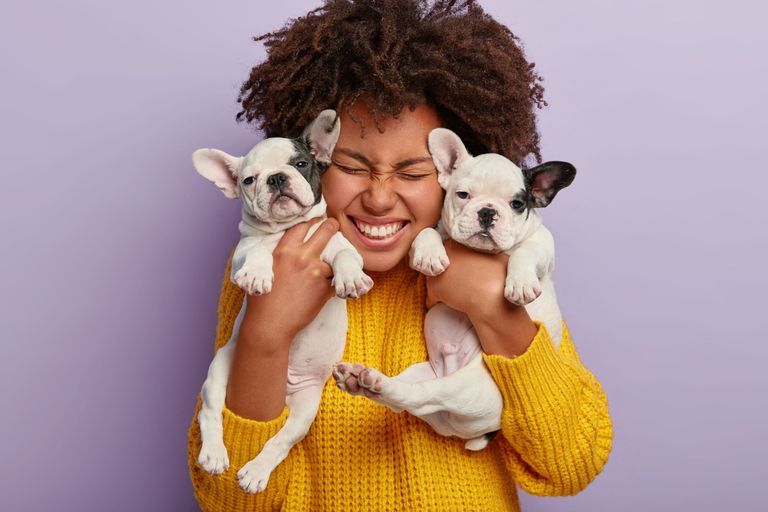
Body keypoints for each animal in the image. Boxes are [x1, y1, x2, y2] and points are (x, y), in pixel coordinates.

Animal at [191, 110, 372, 494]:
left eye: (300, 163)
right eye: (248, 179)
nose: (276, 178)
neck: (287, 230)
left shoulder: (339, 245)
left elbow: (345, 258)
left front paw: (351, 279)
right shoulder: (242, 254)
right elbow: (258, 251)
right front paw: (259, 274)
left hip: (305, 408)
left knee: (281, 440)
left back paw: (256, 472)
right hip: (220, 369)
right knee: (210, 412)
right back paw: (214, 455)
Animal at [332, 128, 572, 452]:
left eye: (517, 204)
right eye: (463, 195)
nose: (487, 212)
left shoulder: (544, 244)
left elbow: (526, 252)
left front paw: (520, 283)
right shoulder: (435, 231)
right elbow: (426, 231)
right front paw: (430, 255)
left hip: (467, 388)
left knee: (420, 397)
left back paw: (368, 382)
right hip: (424, 373)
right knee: (411, 397)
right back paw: (362, 380)